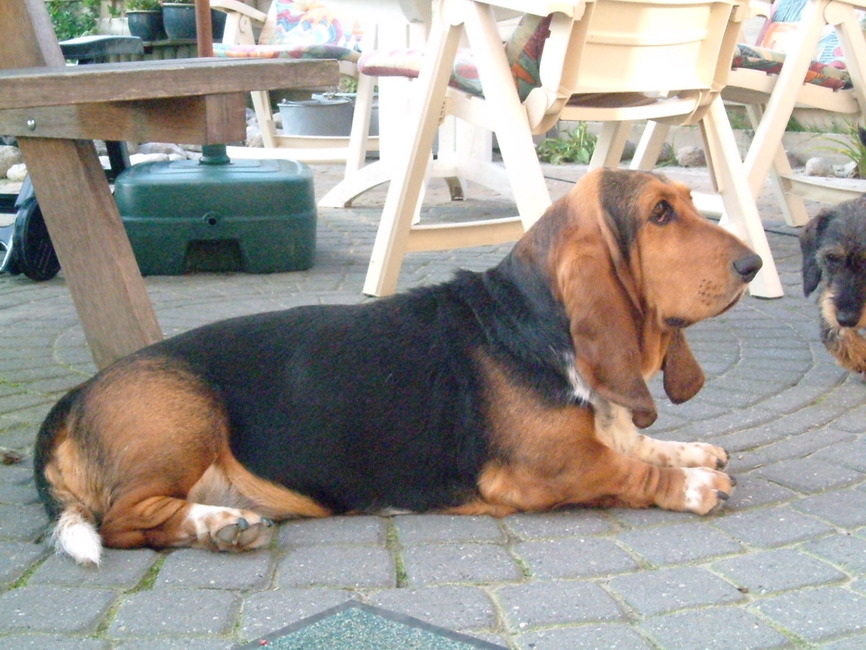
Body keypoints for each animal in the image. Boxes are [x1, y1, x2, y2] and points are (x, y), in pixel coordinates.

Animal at [34, 168, 762, 565]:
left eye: (689, 202)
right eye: (660, 214)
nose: (754, 264)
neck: (534, 319)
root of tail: (72, 398)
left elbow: (636, 441)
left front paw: (691, 452)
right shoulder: (548, 470)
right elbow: (626, 468)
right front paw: (695, 485)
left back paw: (225, 526)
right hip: (184, 419)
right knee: (122, 522)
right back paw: (217, 526)